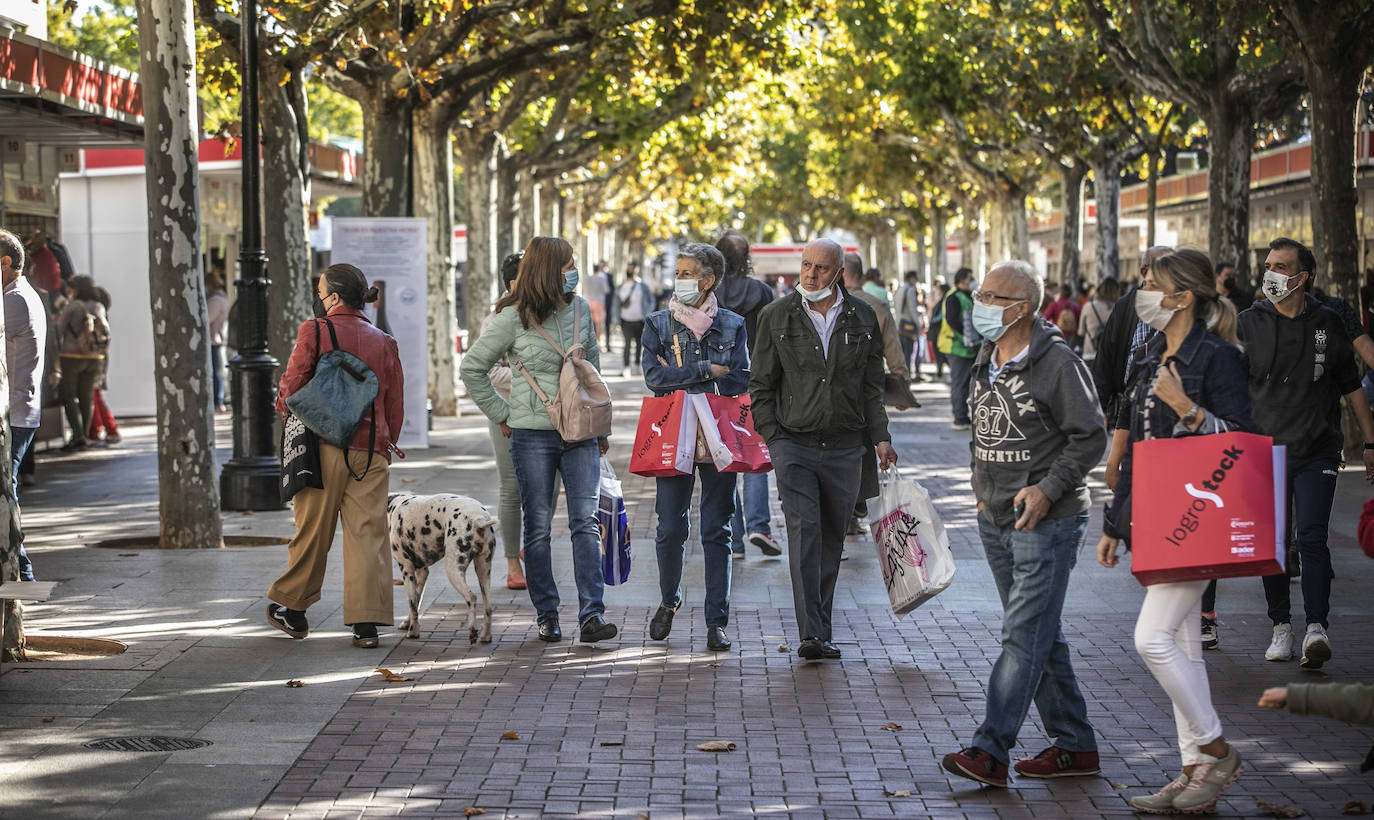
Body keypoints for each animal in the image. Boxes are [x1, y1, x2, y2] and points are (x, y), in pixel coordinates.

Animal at [387, 488, 500, 642]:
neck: (393, 506)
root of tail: (478, 519)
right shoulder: (421, 573)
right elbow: (416, 603)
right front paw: (408, 623)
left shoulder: (407, 570)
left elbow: (412, 605)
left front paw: (413, 631)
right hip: (483, 572)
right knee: (488, 608)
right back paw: (486, 636)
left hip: (453, 570)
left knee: (471, 597)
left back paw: (472, 631)